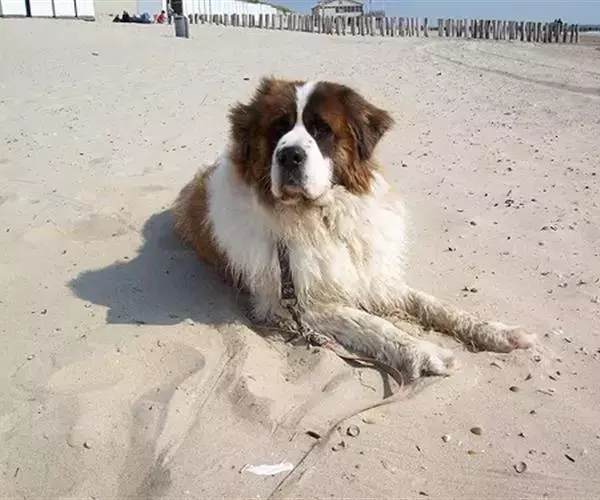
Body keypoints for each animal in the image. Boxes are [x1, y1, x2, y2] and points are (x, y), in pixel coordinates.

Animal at [172, 77, 534, 381]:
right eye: (278, 129)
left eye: (322, 131)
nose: (289, 155)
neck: (321, 217)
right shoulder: (292, 303)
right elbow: (369, 323)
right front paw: (424, 350)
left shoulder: (371, 276)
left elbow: (433, 304)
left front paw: (496, 332)